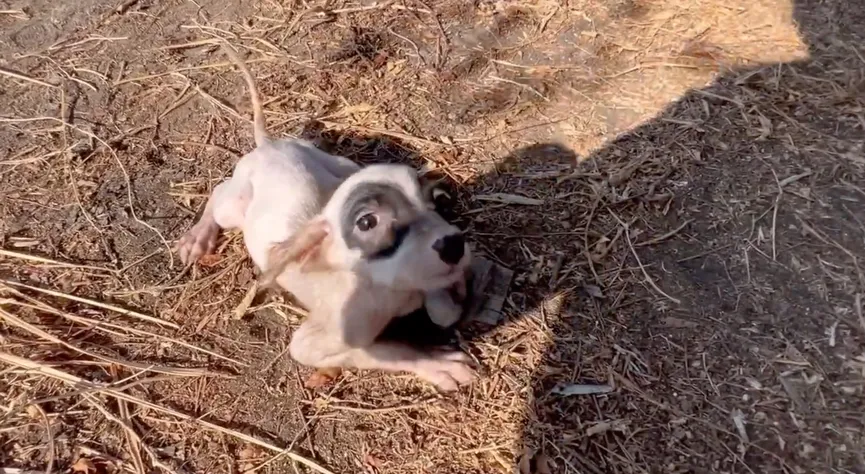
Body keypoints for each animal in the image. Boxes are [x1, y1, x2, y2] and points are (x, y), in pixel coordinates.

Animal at [176, 43, 472, 392]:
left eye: (435, 200)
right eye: (367, 222)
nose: (453, 245)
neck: (391, 292)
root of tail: (268, 146)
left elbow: (443, 311)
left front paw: (455, 293)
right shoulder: (315, 341)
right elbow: (382, 352)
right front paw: (438, 364)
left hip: (343, 164)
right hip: (234, 206)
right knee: (219, 193)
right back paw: (198, 238)